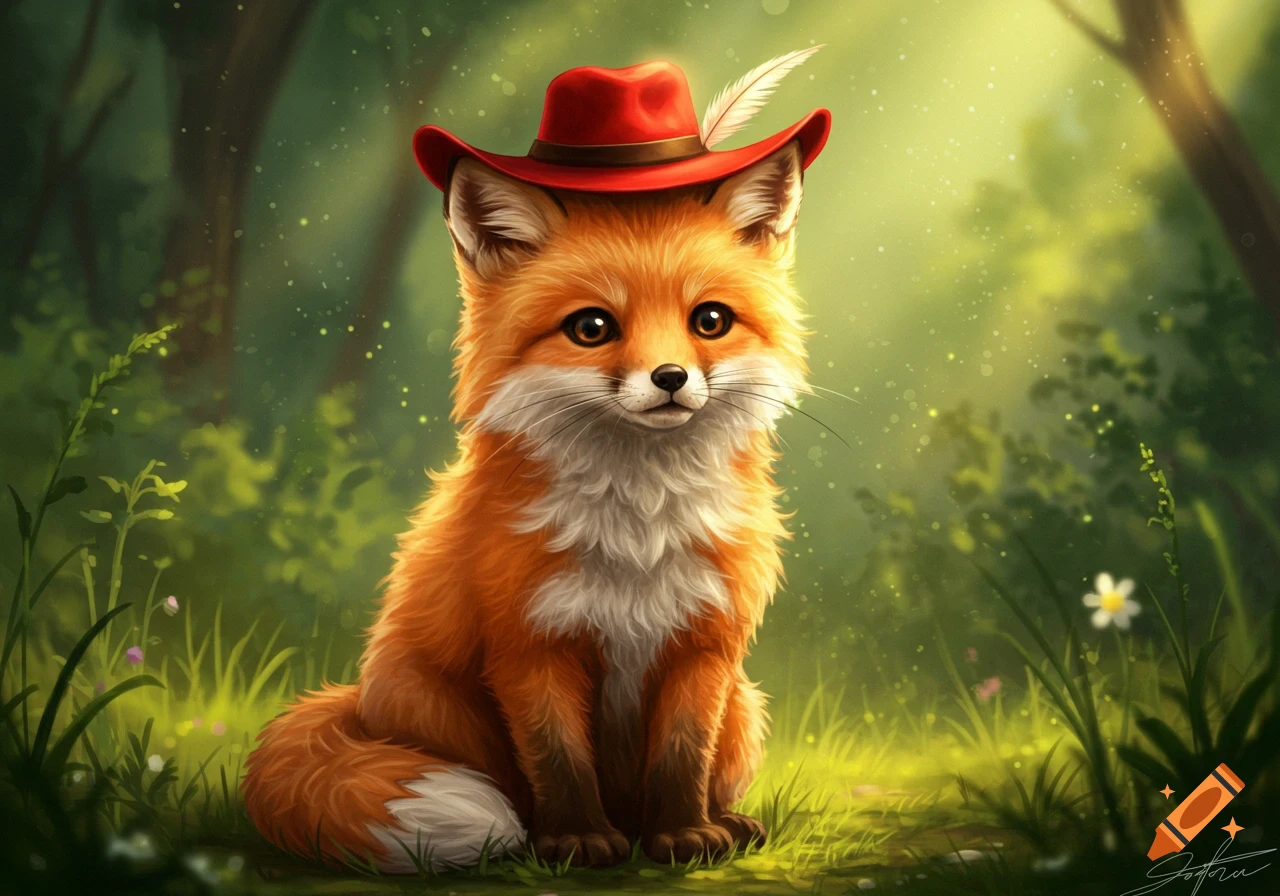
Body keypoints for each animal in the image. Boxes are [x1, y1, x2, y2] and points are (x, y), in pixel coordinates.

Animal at [241, 136, 813, 871]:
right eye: (592, 327)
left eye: (709, 320)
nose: (670, 378)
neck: (639, 530)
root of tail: (357, 701)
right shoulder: (529, 644)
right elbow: (558, 758)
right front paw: (575, 840)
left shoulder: (704, 645)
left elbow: (683, 756)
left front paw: (684, 835)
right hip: (438, 707)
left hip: (744, 706)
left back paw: (719, 822)